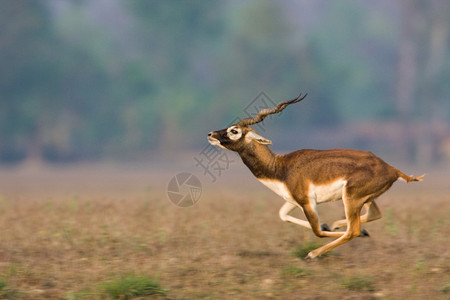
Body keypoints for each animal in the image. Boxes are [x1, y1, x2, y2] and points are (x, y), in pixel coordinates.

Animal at [209, 93, 424, 258]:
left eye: (234, 131)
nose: (211, 134)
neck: (280, 167)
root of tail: (393, 169)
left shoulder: (306, 201)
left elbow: (317, 231)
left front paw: (322, 235)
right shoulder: (293, 200)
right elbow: (282, 215)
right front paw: (329, 225)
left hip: (351, 198)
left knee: (352, 230)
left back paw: (316, 252)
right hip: (366, 199)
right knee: (373, 215)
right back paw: (343, 227)